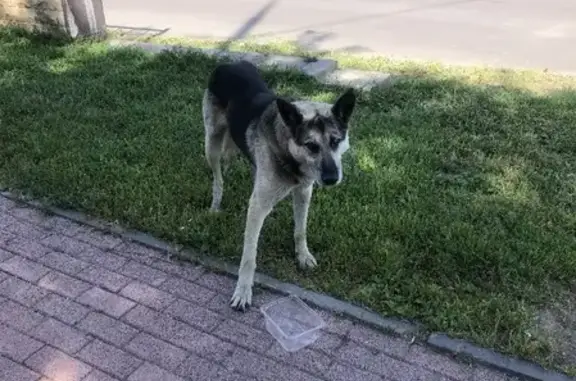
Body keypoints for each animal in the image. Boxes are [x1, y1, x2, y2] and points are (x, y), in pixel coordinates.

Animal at [202, 59, 356, 308]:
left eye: (336, 141)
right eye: (311, 146)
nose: (332, 179)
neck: (288, 151)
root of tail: (228, 63)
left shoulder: (304, 192)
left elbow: (300, 230)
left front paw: (302, 256)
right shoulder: (258, 206)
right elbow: (249, 255)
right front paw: (243, 290)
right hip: (211, 144)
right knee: (218, 178)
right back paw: (216, 204)